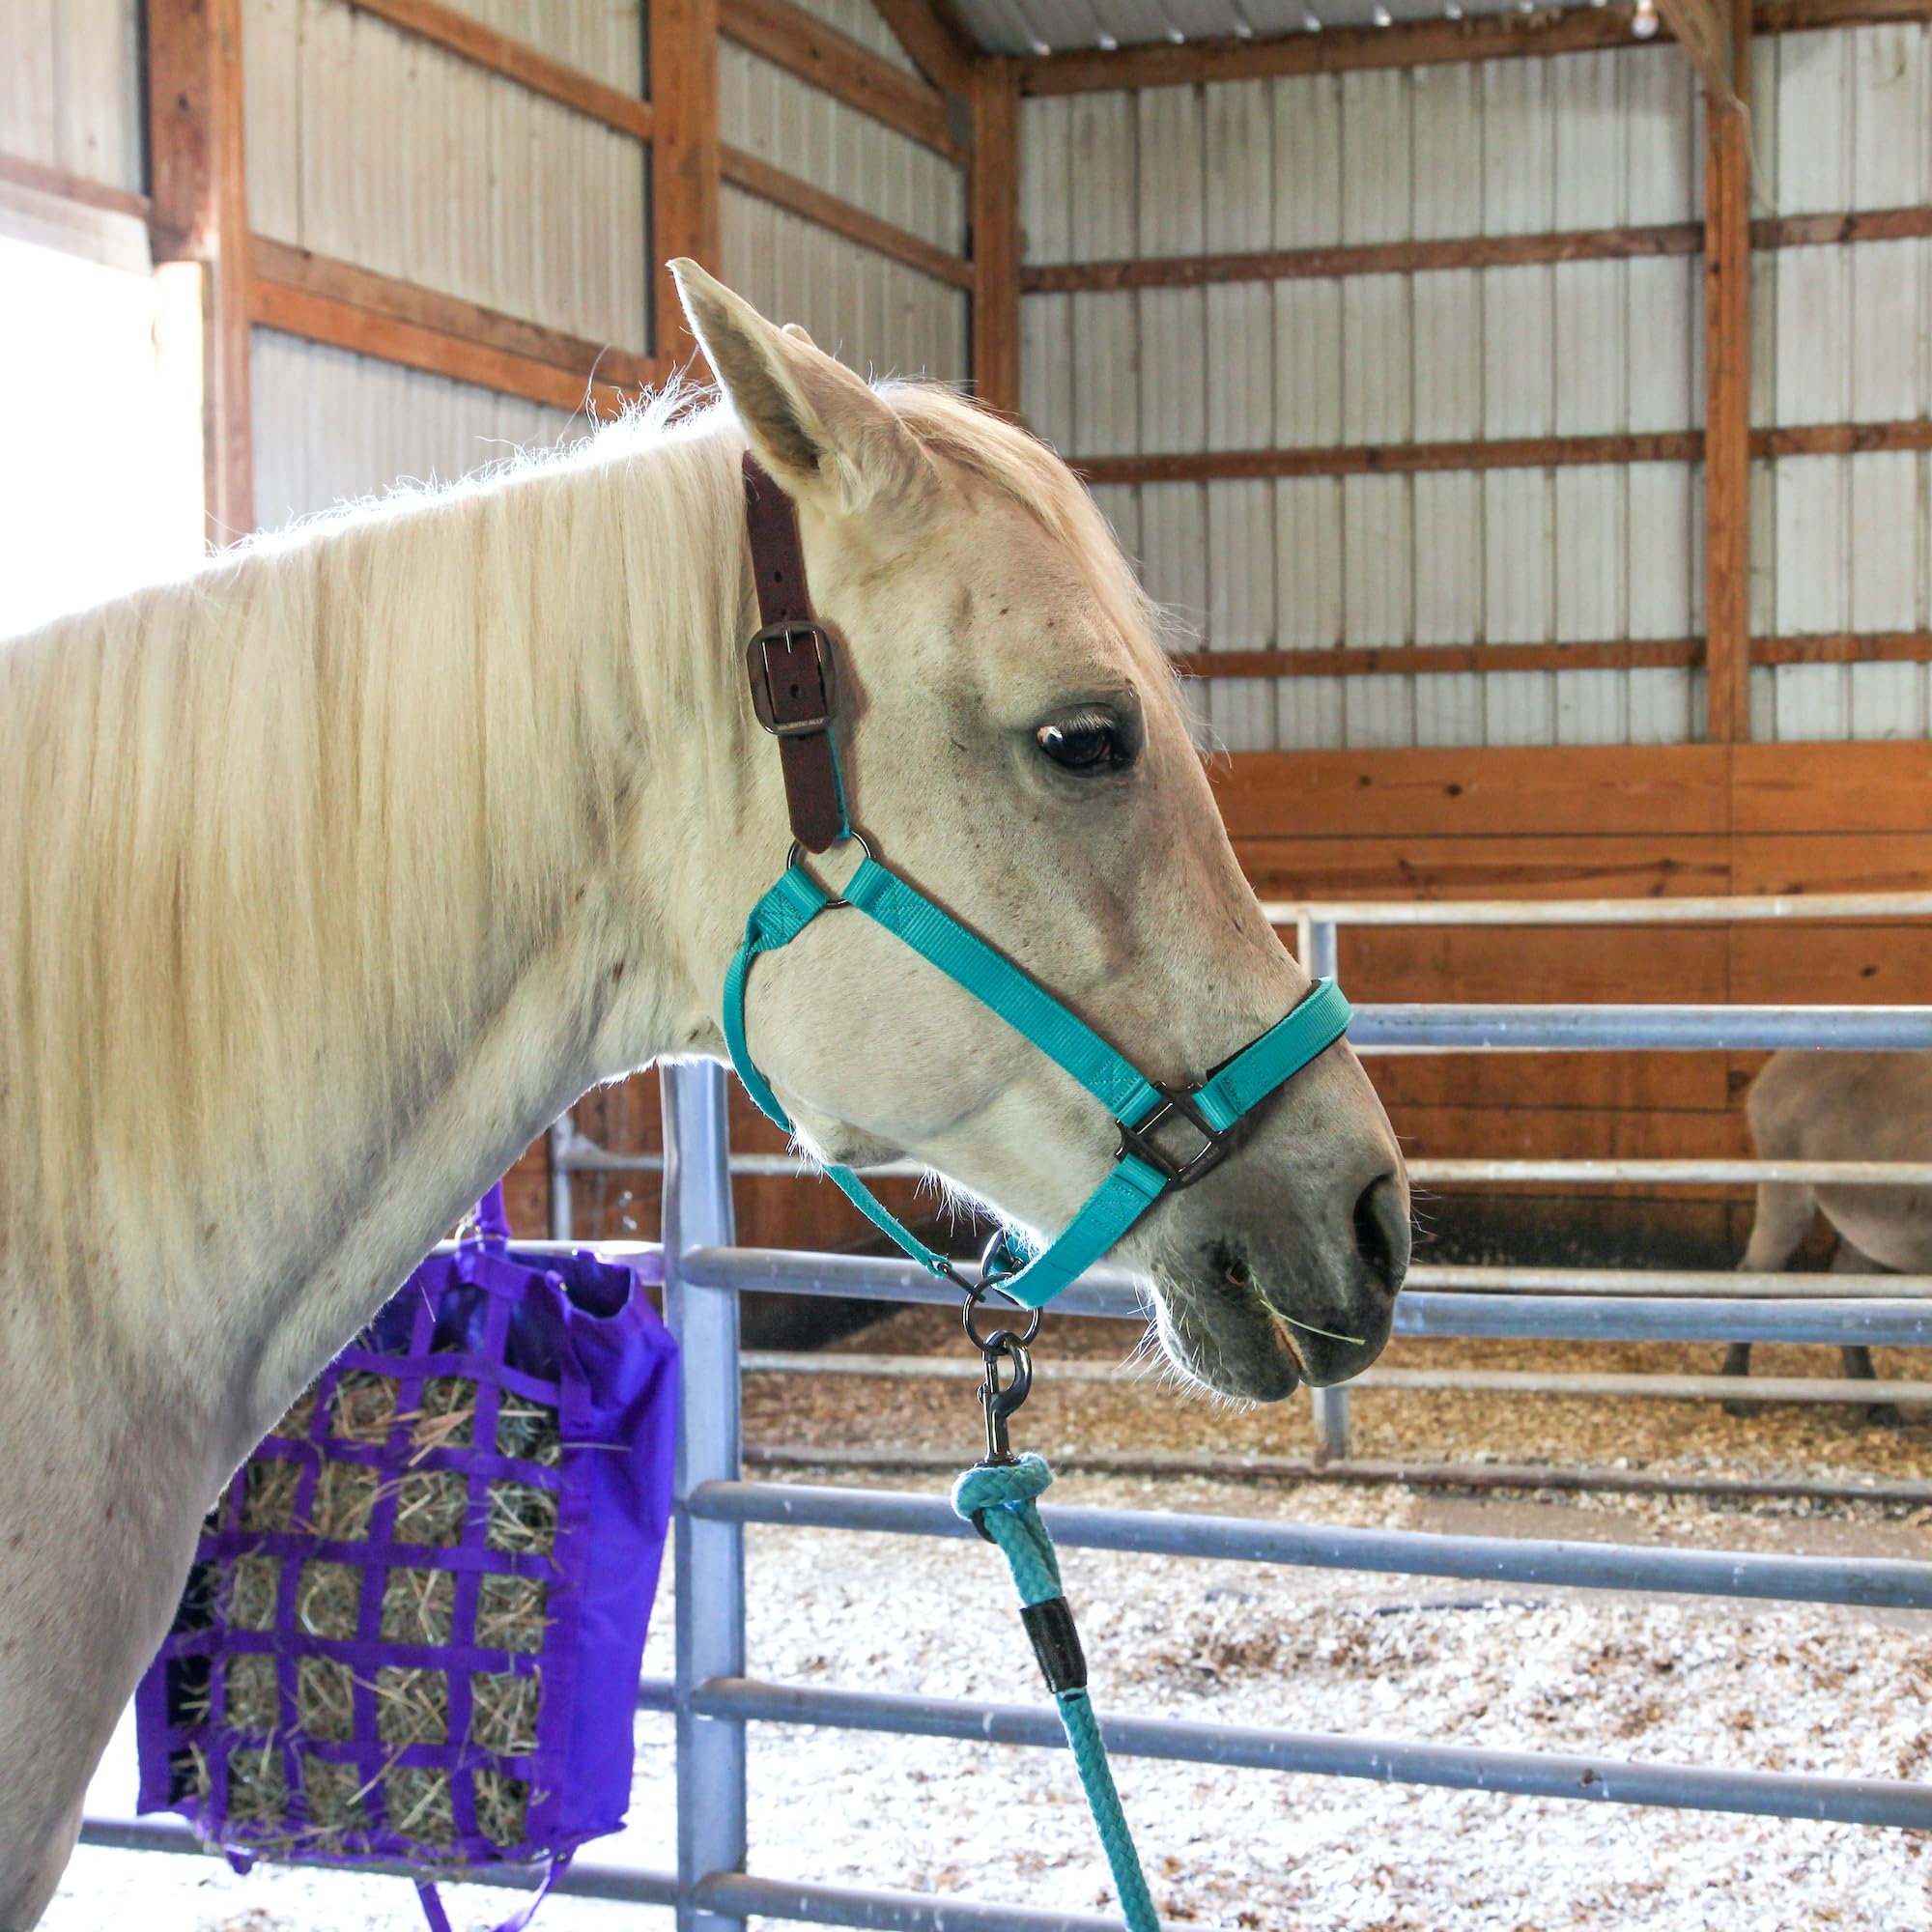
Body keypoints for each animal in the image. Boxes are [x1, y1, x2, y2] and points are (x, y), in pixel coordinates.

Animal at [1720, 1050, 1929, 1426]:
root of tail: (1782, 1060)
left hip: (1864, 1220)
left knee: (1851, 1289)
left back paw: (1877, 1403)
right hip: (1785, 1186)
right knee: (1754, 1275)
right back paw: (1735, 1396)